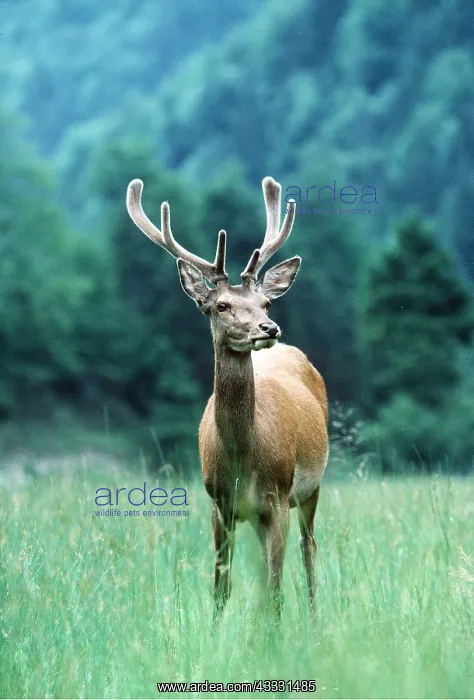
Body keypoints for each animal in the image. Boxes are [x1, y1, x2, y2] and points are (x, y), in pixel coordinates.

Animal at [126, 176, 328, 616]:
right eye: (220, 305)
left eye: (265, 301)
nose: (269, 328)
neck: (241, 459)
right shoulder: (219, 504)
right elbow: (221, 587)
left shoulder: (277, 496)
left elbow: (274, 590)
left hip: (311, 486)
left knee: (308, 548)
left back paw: (314, 616)